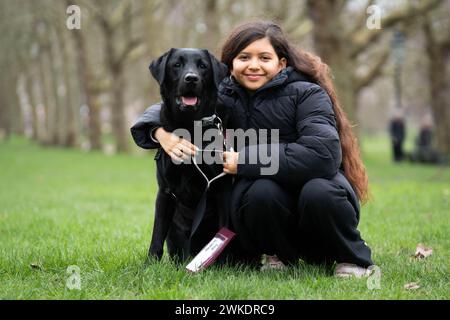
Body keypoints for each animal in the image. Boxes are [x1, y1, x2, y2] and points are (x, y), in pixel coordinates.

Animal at [149, 48, 232, 262]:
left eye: (203, 66)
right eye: (176, 65)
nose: (191, 78)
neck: (189, 126)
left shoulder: (221, 187)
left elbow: (223, 226)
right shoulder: (165, 191)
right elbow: (156, 235)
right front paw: (149, 265)